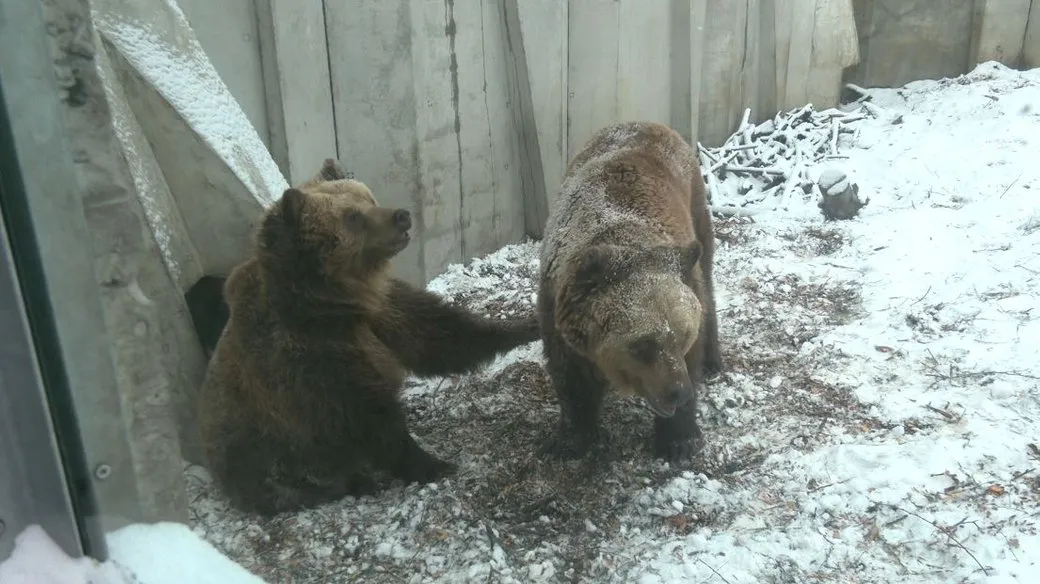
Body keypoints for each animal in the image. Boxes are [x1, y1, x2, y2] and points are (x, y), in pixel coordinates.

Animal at [197, 156, 540, 511]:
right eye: (353, 216)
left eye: (369, 198)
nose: (401, 215)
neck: (338, 300)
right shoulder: (311, 355)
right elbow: (368, 415)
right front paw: (434, 464)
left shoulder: (385, 310)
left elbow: (444, 337)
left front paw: (526, 324)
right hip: (268, 456)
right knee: (294, 480)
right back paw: (354, 482)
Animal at [536, 120, 723, 461]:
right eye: (643, 343)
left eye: (683, 335)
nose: (678, 391)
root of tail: (648, 123)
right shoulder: (557, 309)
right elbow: (571, 380)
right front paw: (569, 439)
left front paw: (679, 440)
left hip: (695, 205)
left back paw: (713, 361)